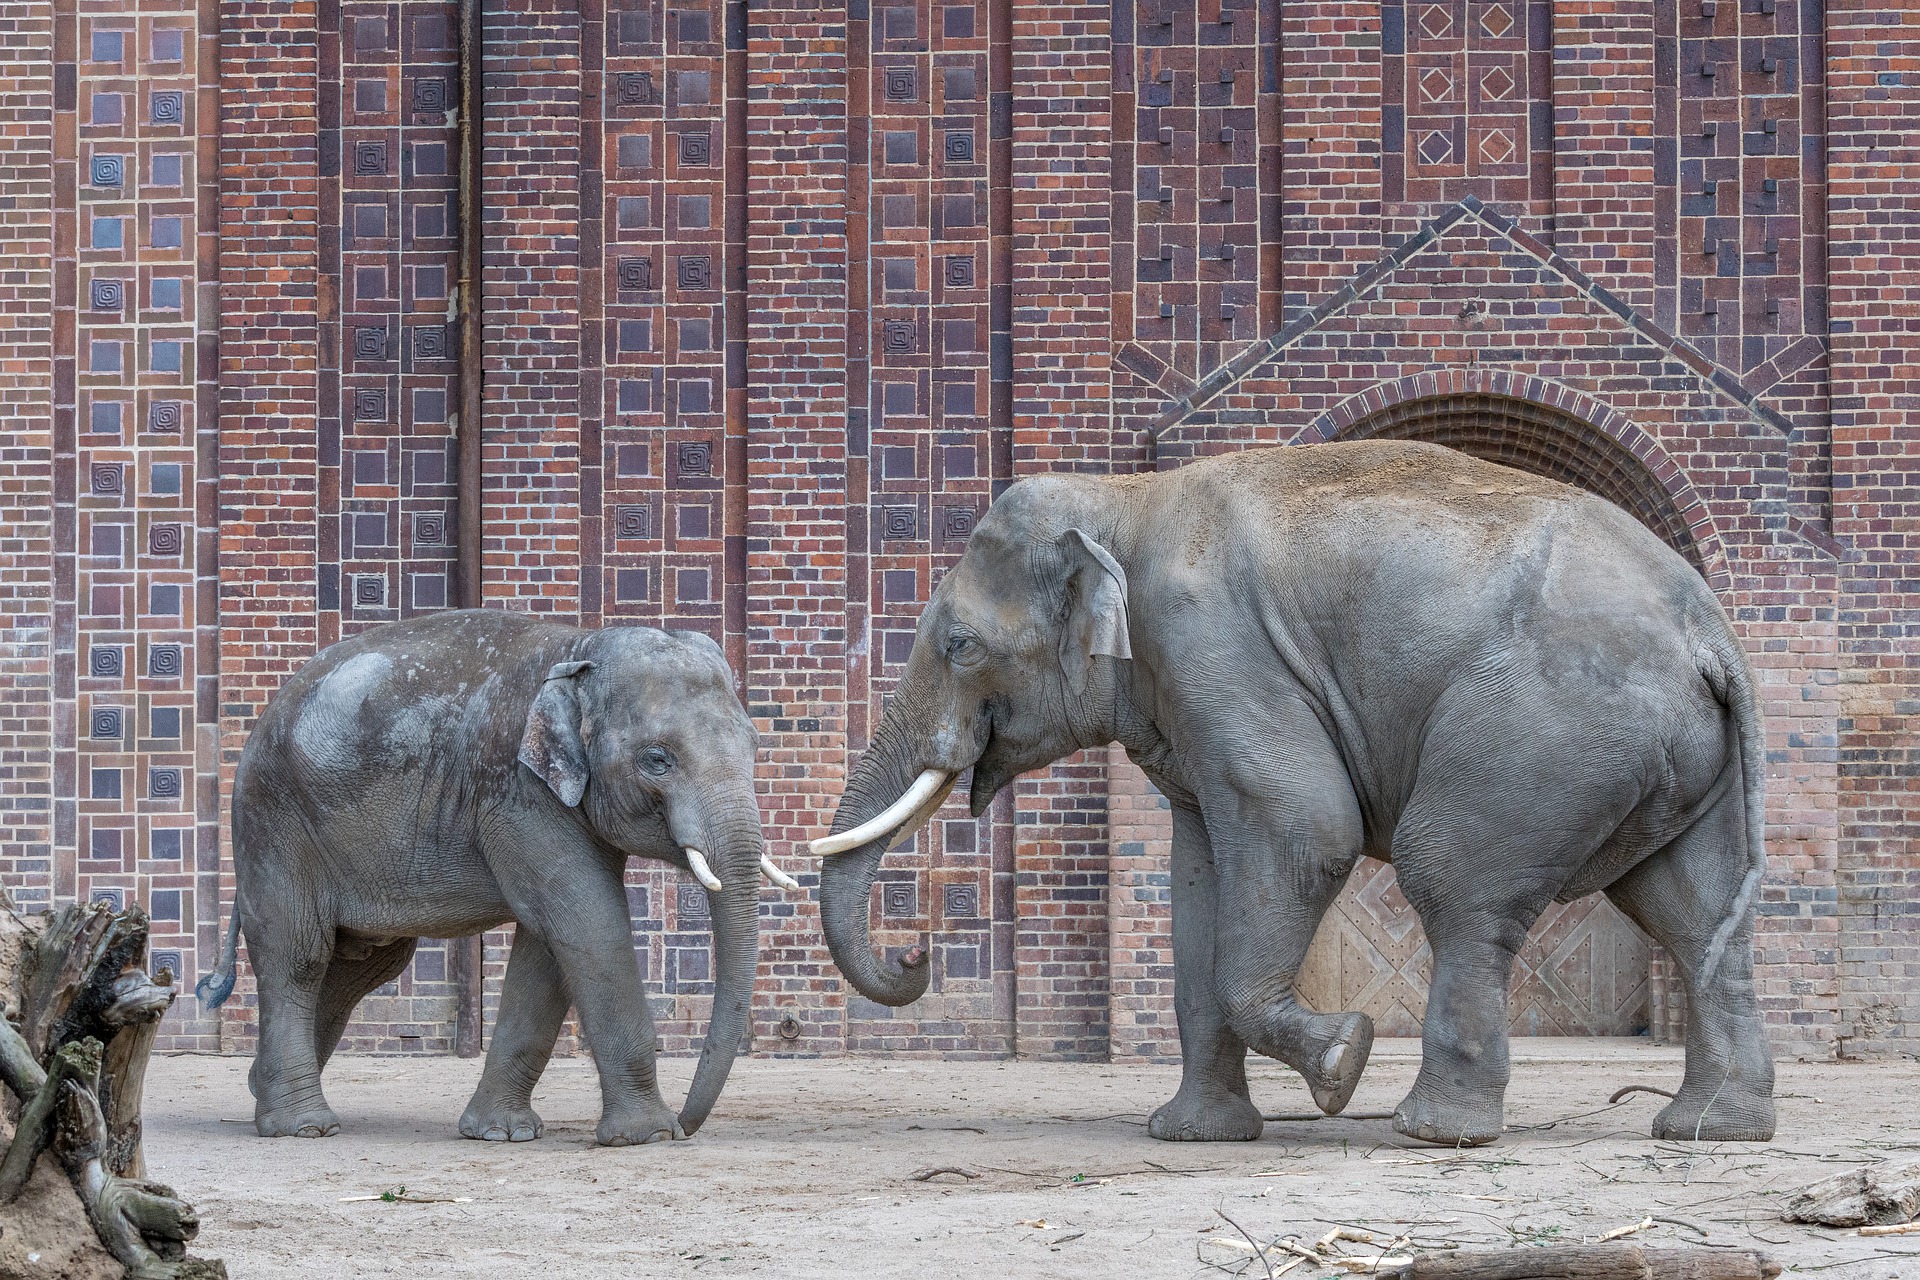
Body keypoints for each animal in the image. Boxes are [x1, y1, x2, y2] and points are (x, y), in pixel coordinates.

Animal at [197, 609, 795, 1145]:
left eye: (755, 746)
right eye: (657, 759)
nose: (689, 1125)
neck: (579, 646)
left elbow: (549, 947)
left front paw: (502, 1133)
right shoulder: (517, 791)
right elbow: (587, 924)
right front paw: (647, 1136)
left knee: (361, 964)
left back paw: (259, 1087)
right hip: (272, 821)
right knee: (299, 957)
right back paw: (302, 1126)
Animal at [813, 440, 1775, 1147]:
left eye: (961, 645)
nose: (917, 953)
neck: (1125, 498)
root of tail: (1710, 629)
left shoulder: (1213, 647)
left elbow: (1306, 828)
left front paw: (1342, 1064)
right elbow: (1198, 883)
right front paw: (1193, 1135)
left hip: (1545, 729)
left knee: (1455, 881)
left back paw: (1433, 1132)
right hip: (1672, 757)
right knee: (1691, 911)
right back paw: (1711, 1130)